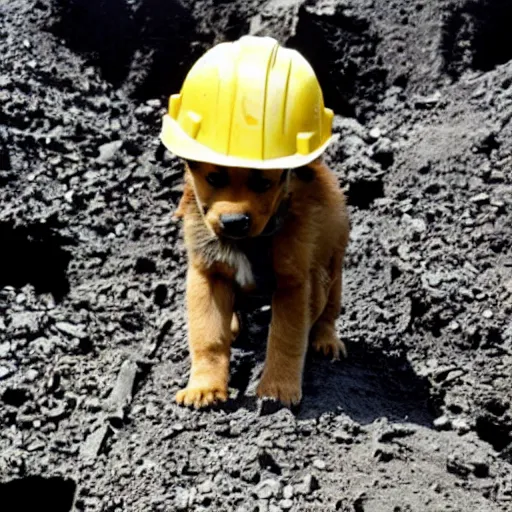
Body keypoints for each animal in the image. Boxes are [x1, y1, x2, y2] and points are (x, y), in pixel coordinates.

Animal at [174, 157, 350, 408]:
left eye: (263, 183)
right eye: (214, 178)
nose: (234, 222)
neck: (248, 243)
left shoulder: (292, 281)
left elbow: (285, 338)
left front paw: (278, 389)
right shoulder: (208, 273)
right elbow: (208, 337)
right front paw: (204, 387)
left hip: (333, 261)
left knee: (328, 308)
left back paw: (327, 340)